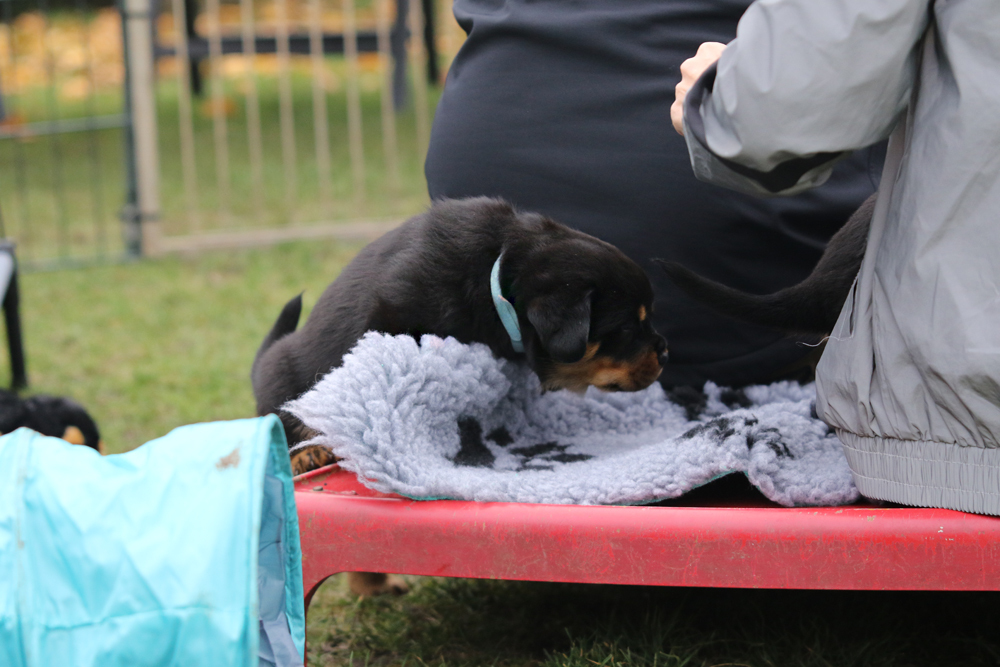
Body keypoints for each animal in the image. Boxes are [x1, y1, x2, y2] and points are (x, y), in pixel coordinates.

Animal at [252, 197, 668, 595]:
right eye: (627, 328)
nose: (665, 351)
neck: (496, 278)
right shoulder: (391, 323)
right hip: (284, 375)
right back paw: (309, 455)